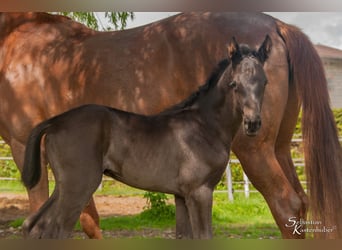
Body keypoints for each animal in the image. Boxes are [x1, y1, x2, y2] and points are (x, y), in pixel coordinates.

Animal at [0, 12, 340, 238]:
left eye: (262, 82)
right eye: (234, 84)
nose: (253, 122)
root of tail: (279, 24)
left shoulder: (23, 146)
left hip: (257, 151)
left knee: (287, 206)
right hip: (279, 148)